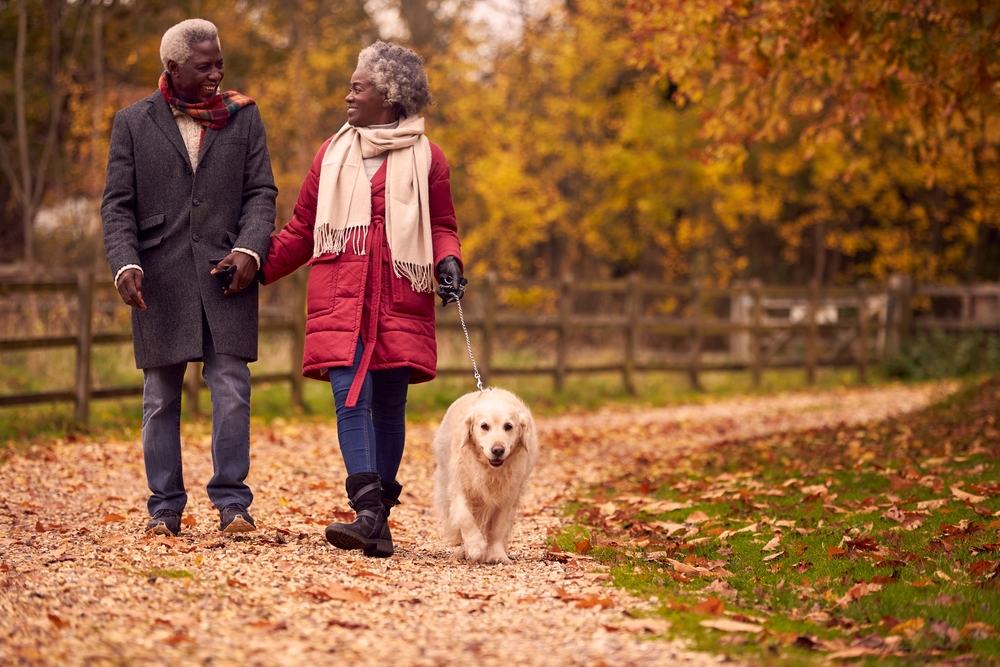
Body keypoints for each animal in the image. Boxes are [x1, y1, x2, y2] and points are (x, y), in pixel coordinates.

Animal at [432, 386, 540, 564]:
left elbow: (498, 527)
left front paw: (497, 554)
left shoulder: (508, 497)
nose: (498, 450)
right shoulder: (458, 488)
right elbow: (465, 518)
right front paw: (475, 547)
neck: (489, 469)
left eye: (508, 426)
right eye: (484, 426)